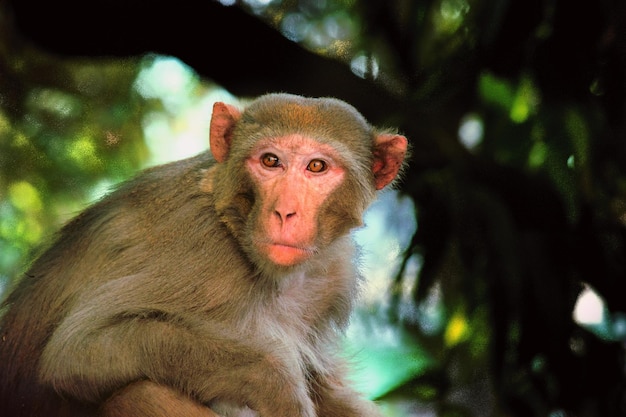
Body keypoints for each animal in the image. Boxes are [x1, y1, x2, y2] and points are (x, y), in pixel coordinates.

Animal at [0, 92, 410, 414]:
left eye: (317, 166)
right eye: (270, 161)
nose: (284, 212)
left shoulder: (333, 275)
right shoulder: (196, 255)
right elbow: (75, 351)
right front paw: (277, 386)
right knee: (139, 393)